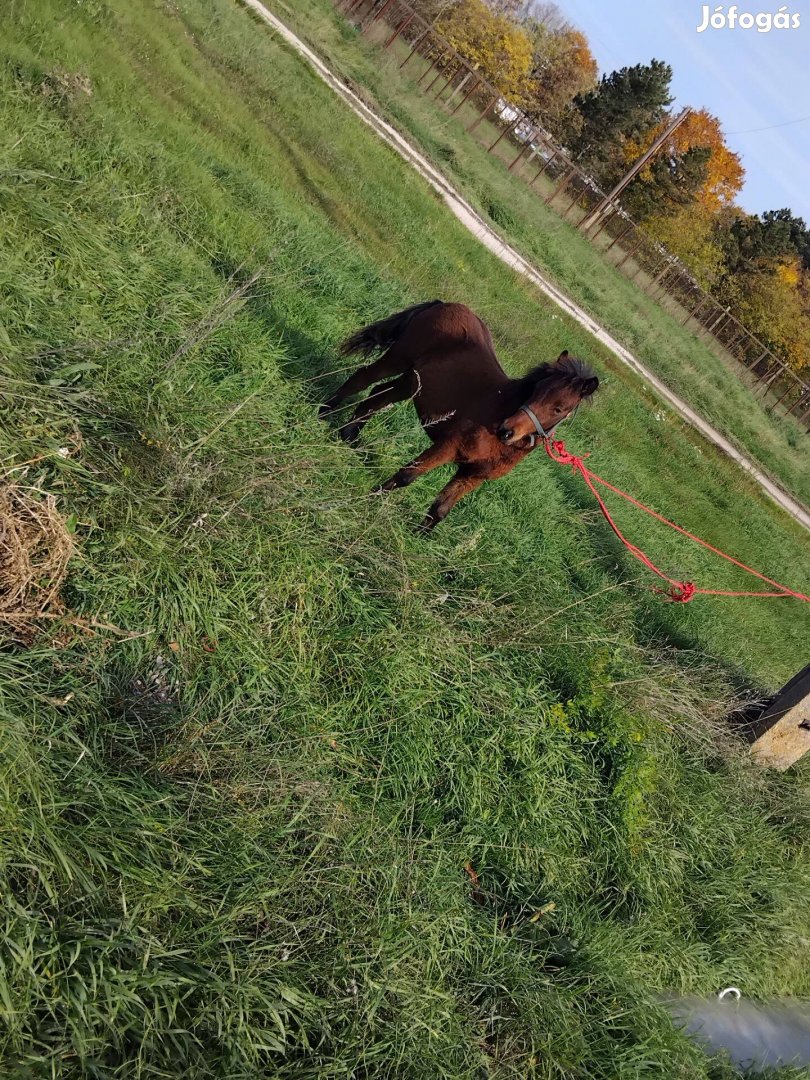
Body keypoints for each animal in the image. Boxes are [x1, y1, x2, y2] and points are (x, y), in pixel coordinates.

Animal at [319, 302, 600, 529]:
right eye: (536, 390)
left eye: (559, 409)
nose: (506, 430)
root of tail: (444, 304)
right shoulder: (449, 446)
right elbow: (407, 476)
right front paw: (370, 497)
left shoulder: (472, 475)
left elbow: (441, 509)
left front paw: (417, 538)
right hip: (398, 360)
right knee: (363, 378)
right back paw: (325, 412)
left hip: (413, 381)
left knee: (378, 395)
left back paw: (349, 436)